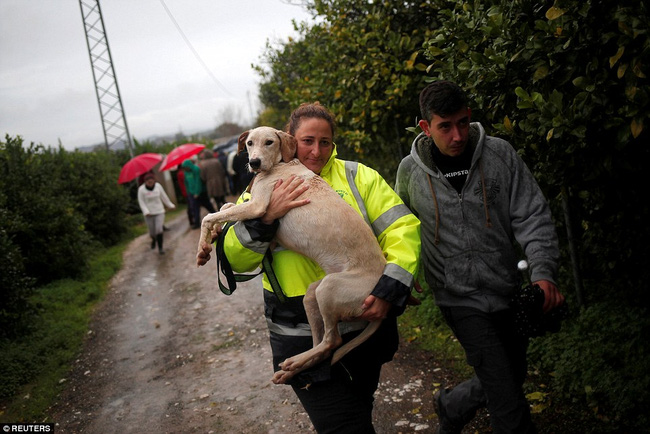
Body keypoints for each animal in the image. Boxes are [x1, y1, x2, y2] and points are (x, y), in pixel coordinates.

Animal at [194, 126, 384, 384]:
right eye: (250, 143)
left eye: (269, 142)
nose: (254, 163)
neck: (281, 163)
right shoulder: (258, 214)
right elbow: (224, 208)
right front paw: (212, 239)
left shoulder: (257, 206)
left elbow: (210, 215)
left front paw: (202, 246)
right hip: (313, 294)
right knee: (321, 344)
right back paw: (293, 368)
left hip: (328, 290)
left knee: (332, 340)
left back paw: (294, 362)